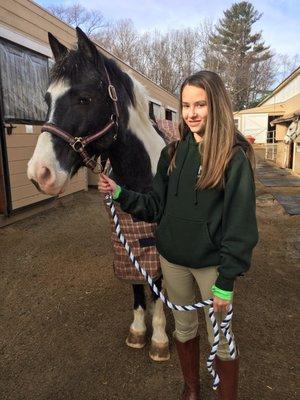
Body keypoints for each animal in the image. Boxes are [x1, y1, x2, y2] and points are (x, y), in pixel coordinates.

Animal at [27, 27, 170, 360]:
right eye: (47, 98)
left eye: (84, 98)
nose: (39, 173)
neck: (141, 179)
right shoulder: (124, 240)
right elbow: (136, 284)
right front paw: (138, 329)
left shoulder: (153, 241)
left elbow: (156, 285)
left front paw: (159, 337)